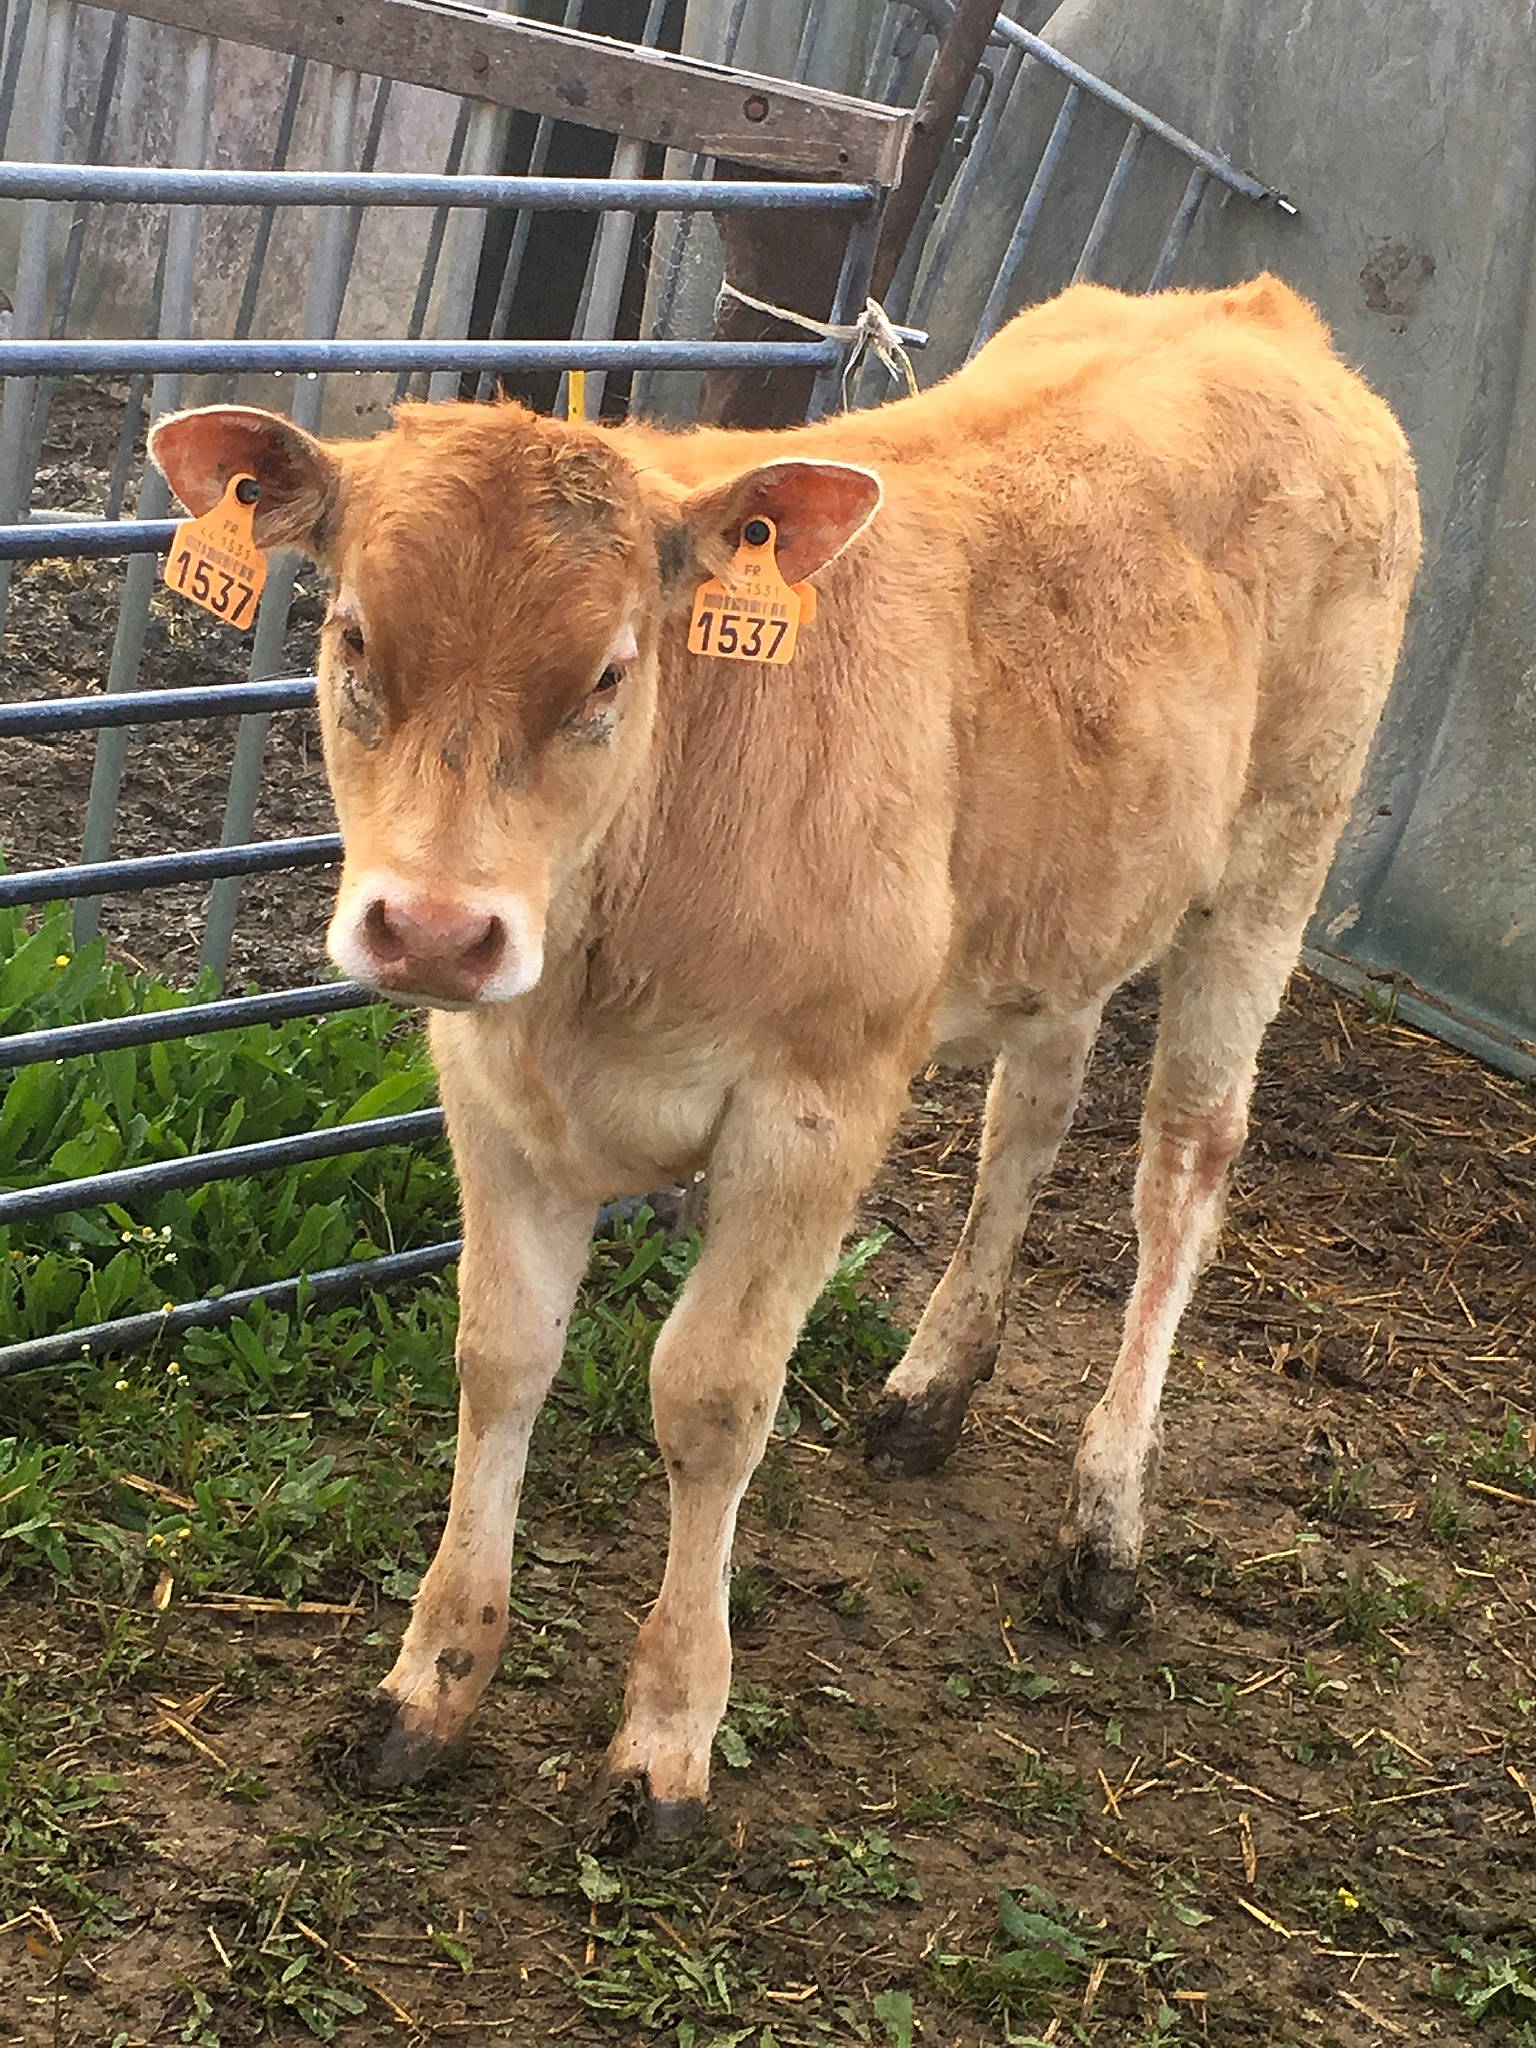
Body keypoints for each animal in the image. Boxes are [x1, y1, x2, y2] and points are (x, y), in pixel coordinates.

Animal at [149, 275, 1419, 1833]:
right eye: (350, 642)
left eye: (611, 672)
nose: (439, 930)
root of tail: (1262, 313)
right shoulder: (493, 1092)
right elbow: (499, 1357)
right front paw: (428, 1686)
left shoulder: (816, 1109)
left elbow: (709, 1397)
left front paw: (669, 1736)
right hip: (1068, 902)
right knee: (1032, 1112)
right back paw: (932, 1390)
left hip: (1275, 861)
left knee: (1181, 1169)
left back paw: (1108, 1520)